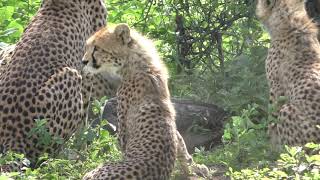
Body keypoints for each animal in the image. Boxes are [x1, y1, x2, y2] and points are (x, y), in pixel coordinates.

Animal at [0, 0, 107, 172]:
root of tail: (11, 139)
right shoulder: (87, 70)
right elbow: (83, 125)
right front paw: (83, 155)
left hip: (7, 53)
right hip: (71, 75)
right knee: (46, 158)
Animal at [81, 23, 209, 179]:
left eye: (97, 48)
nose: (83, 61)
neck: (139, 64)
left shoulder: (123, 134)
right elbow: (180, 141)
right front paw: (194, 168)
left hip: (93, 171)